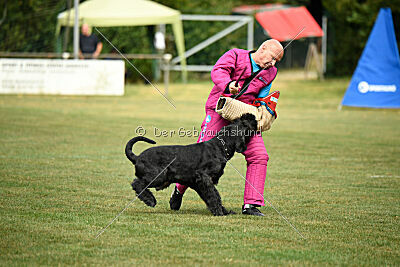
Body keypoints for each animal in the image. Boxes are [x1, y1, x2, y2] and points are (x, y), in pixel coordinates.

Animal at [125, 114, 256, 217]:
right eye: (244, 123)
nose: (253, 117)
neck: (220, 146)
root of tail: (137, 157)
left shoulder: (200, 183)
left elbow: (213, 196)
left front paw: (224, 211)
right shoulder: (204, 178)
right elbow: (213, 195)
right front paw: (219, 212)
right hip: (158, 177)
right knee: (137, 183)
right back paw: (150, 200)